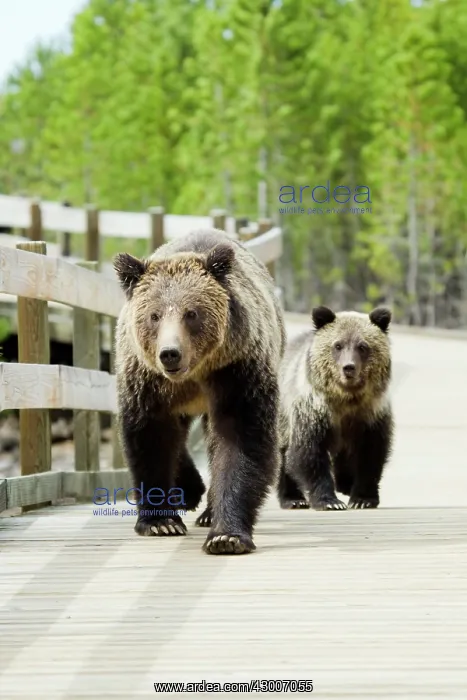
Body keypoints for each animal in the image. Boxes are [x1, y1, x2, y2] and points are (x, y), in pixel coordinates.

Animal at [113, 228, 286, 554]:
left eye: (191, 313)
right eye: (154, 315)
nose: (170, 353)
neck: (194, 374)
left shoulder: (235, 371)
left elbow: (239, 440)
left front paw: (226, 536)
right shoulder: (147, 382)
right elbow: (151, 437)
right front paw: (161, 522)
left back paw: (206, 511)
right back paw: (190, 490)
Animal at [277, 305, 394, 511]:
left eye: (362, 346)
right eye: (338, 345)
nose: (349, 367)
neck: (345, 398)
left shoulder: (370, 413)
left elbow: (371, 452)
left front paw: (362, 499)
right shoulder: (314, 410)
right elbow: (310, 451)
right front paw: (329, 501)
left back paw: (345, 484)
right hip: (282, 416)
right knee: (284, 456)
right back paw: (293, 498)